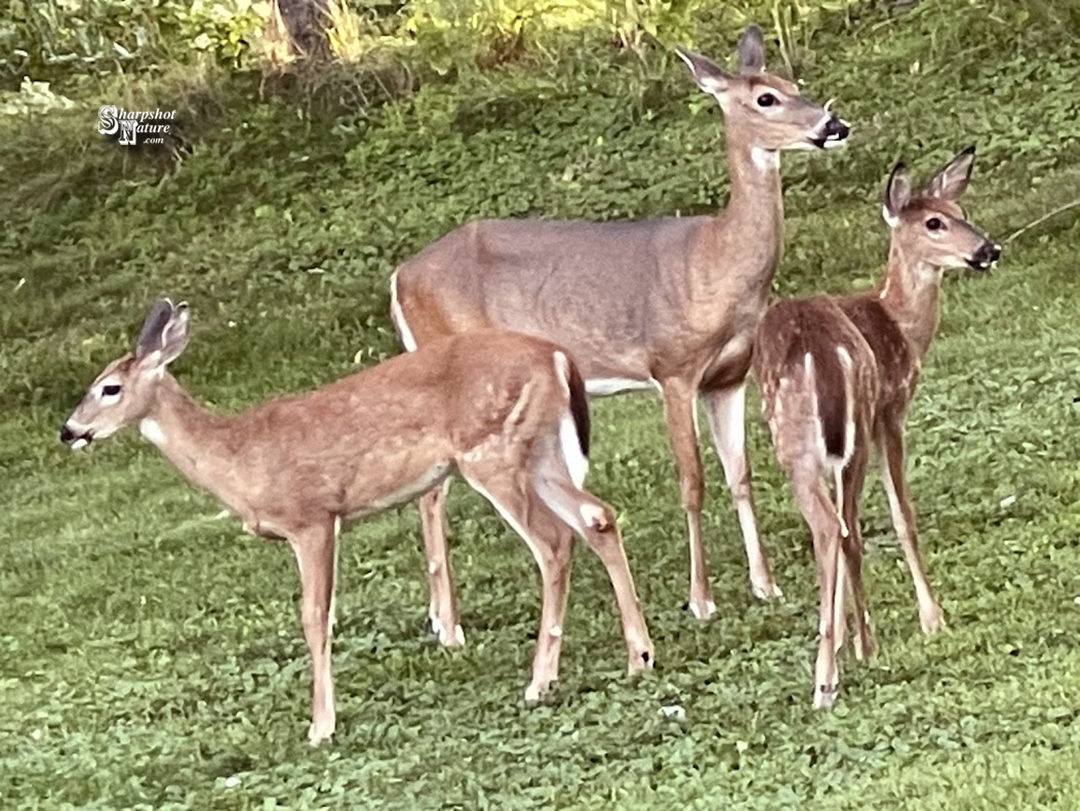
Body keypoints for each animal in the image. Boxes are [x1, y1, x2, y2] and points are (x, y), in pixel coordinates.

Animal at [59, 300, 654, 744]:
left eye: (109, 387)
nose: (69, 430)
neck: (239, 457)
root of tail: (556, 355)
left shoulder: (314, 517)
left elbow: (314, 616)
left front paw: (321, 727)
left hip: (492, 450)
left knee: (552, 542)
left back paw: (540, 682)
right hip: (540, 450)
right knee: (597, 517)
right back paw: (638, 657)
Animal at [388, 25, 850, 633]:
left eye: (793, 83)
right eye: (765, 98)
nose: (833, 124)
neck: (716, 261)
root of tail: (399, 277)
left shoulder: (727, 377)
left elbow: (740, 475)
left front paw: (765, 585)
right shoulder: (672, 368)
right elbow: (692, 483)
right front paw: (701, 599)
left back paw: (445, 619)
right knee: (431, 495)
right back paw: (450, 627)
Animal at [752, 146, 1001, 707]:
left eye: (961, 210)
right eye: (934, 222)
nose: (988, 249)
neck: (899, 323)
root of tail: (816, 349)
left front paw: (849, 634)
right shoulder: (890, 409)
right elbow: (903, 515)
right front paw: (932, 619)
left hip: (805, 440)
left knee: (834, 527)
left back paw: (839, 656)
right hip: (837, 432)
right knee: (840, 527)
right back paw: (835, 672)